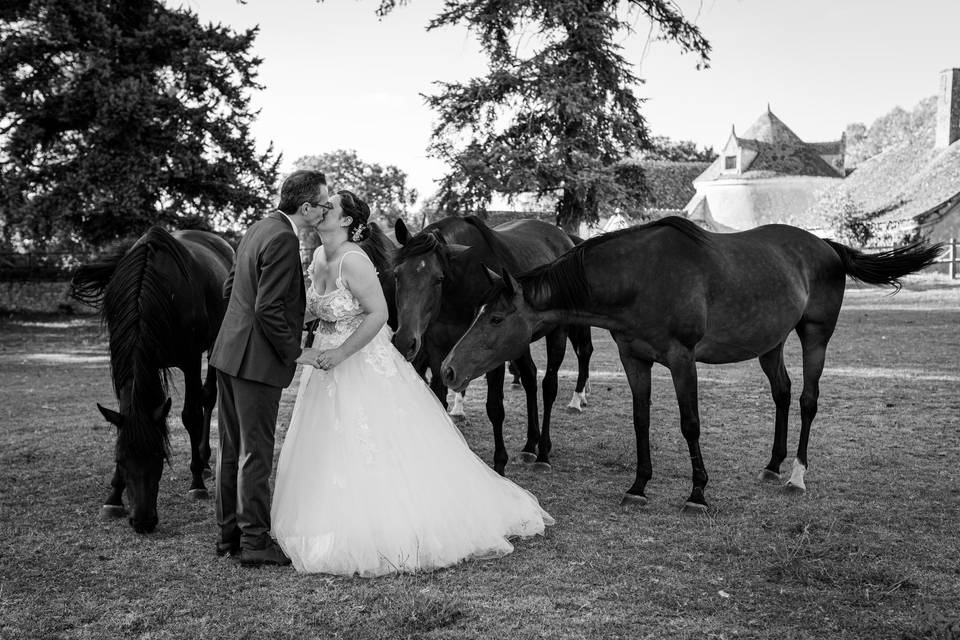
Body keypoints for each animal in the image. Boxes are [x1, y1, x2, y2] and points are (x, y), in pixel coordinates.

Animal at [70, 228, 233, 532]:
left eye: (160, 457)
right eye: (120, 459)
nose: (143, 521)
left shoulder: (190, 359)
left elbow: (191, 415)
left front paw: (196, 484)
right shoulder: (123, 361)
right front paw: (113, 497)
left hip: (217, 341)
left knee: (208, 398)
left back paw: (203, 461)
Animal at [392, 215, 592, 476]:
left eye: (438, 279)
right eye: (397, 274)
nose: (404, 341)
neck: (461, 289)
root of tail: (563, 236)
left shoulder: (490, 355)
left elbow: (495, 408)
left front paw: (499, 464)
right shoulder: (438, 352)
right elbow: (438, 398)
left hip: (557, 333)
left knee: (549, 386)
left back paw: (544, 452)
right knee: (529, 377)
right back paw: (530, 445)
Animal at [444, 218, 944, 512]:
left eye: (495, 318)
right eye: (478, 311)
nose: (449, 369)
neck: (640, 276)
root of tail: (825, 245)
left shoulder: (682, 359)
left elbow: (690, 423)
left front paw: (698, 492)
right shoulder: (634, 358)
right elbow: (641, 420)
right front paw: (639, 486)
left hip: (815, 337)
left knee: (807, 399)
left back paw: (797, 475)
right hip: (771, 343)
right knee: (782, 393)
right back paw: (773, 464)